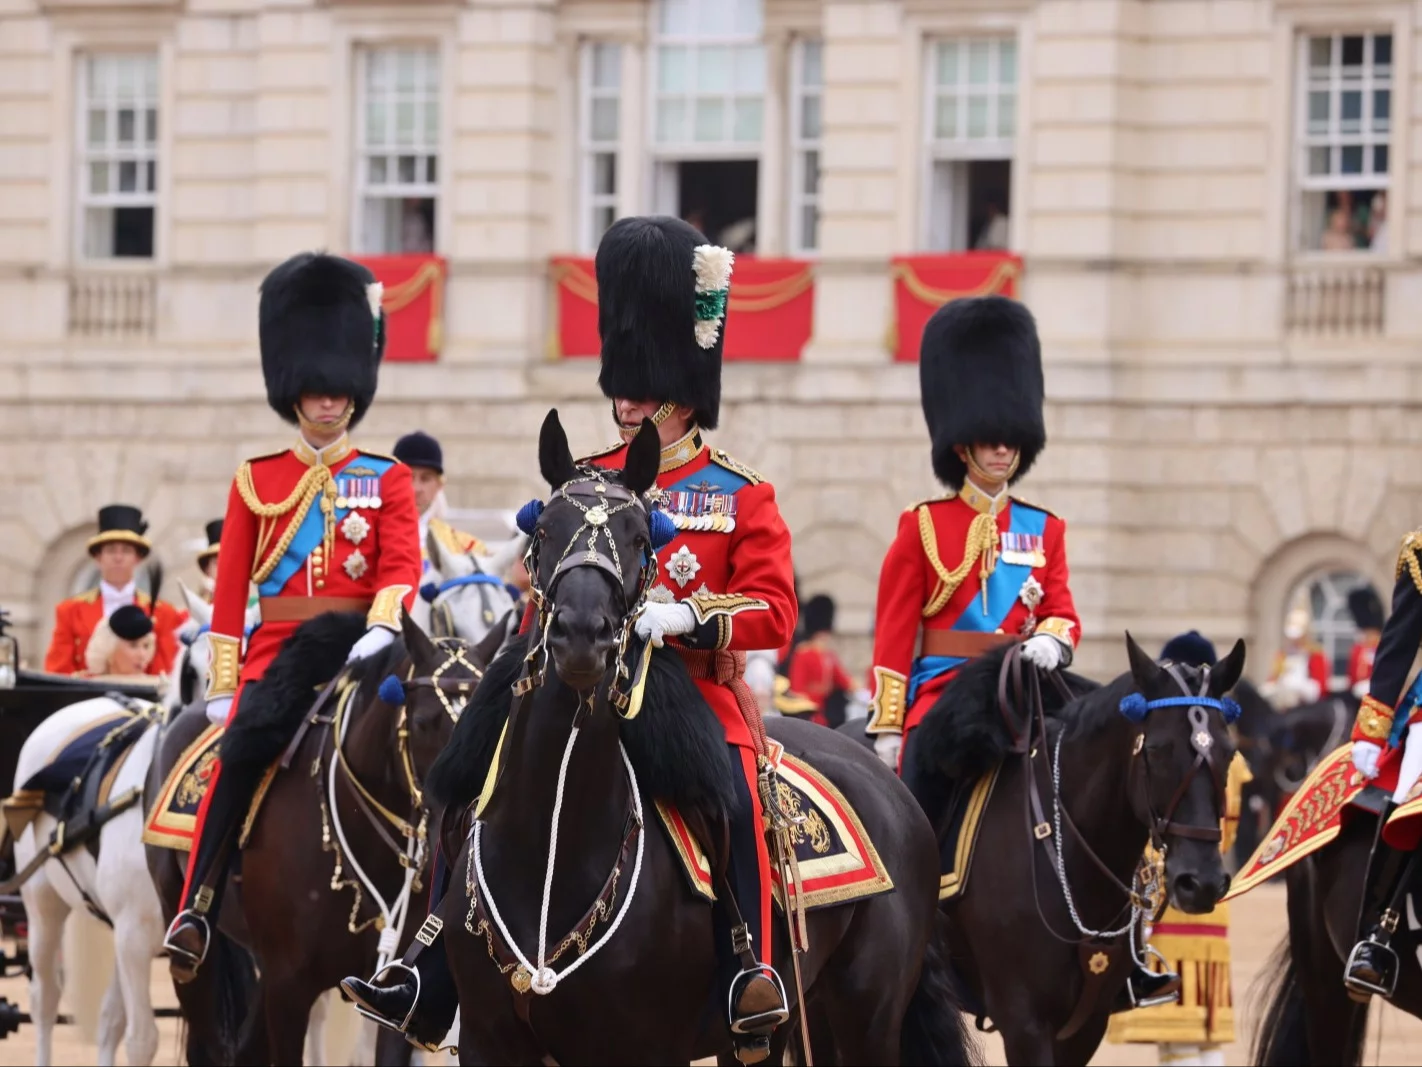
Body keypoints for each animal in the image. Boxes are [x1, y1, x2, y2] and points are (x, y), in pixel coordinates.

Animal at [420, 412, 978, 1067]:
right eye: (547, 530)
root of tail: (885, 778)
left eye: (641, 538)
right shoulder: (488, 1038)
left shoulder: (642, 1045)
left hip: (866, 1016)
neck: (550, 847)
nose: (582, 636)